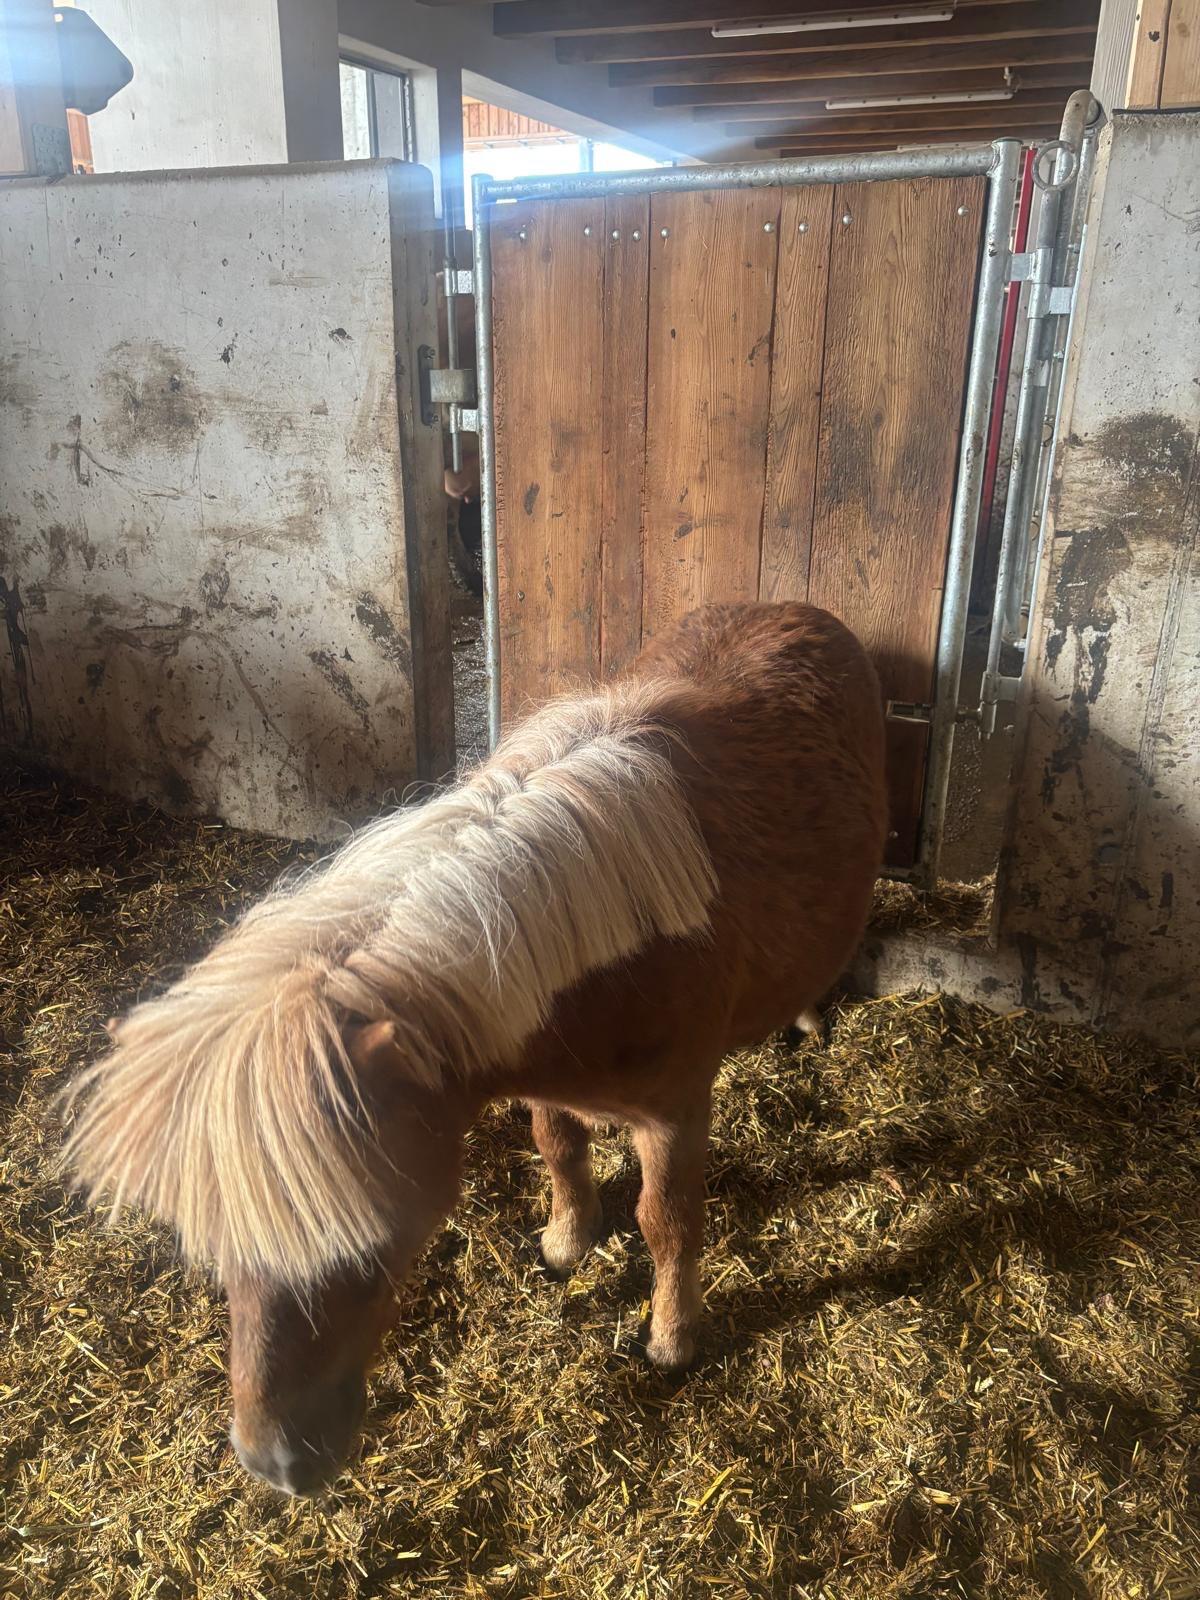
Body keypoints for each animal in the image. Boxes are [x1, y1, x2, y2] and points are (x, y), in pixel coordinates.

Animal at [63, 601, 887, 1497]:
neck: (608, 949)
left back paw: (806, 1017)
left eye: (370, 1251)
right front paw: (566, 1243)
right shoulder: (542, 1080)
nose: (276, 1464)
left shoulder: (675, 1114)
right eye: (216, 1251)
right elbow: (557, 1148)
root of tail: (798, 611)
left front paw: (672, 1340)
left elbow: (666, 1222)